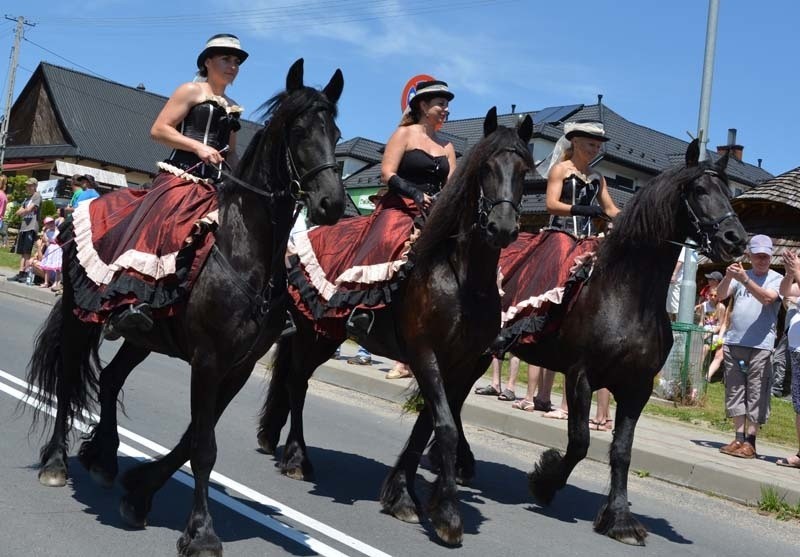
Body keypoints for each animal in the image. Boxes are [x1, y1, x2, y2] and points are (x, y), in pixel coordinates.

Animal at [26, 58, 346, 552]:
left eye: (336, 131)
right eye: (297, 131)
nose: (331, 204)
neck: (242, 250)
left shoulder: (238, 366)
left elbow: (193, 438)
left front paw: (140, 492)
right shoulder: (208, 360)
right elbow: (203, 447)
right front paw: (201, 533)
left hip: (142, 336)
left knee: (111, 380)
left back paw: (103, 457)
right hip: (81, 317)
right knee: (65, 380)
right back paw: (57, 462)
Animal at [256, 107, 532, 544]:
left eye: (524, 169)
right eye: (486, 167)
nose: (502, 228)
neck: (462, 278)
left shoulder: (463, 364)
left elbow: (430, 424)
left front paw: (404, 494)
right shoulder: (424, 353)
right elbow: (445, 427)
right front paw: (446, 514)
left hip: (325, 336)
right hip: (311, 333)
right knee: (297, 384)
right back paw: (297, 458)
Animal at [456, 139, 752, 544]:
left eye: (729, 194)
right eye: (699, 190)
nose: (736, 239)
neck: (626, 293)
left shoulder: (636, 388)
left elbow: (622, 451)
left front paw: (620, 518)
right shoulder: (581, 376)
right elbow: (580, 442)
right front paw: (545, 481)